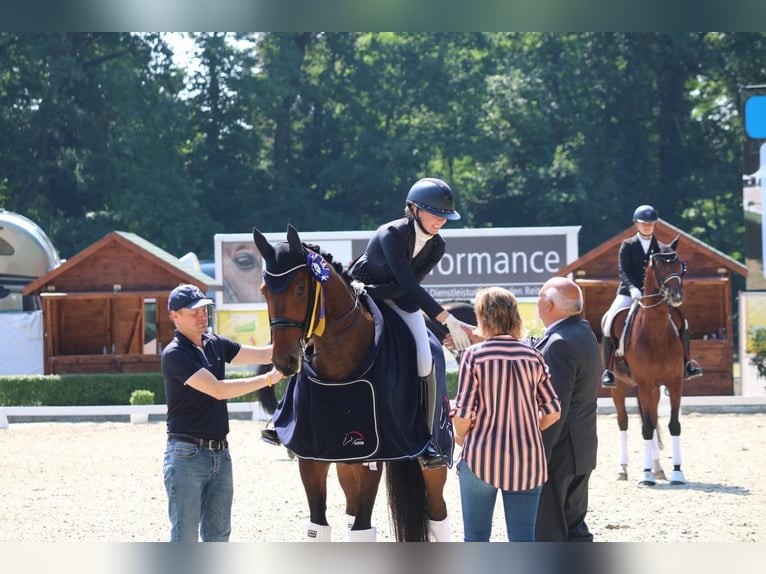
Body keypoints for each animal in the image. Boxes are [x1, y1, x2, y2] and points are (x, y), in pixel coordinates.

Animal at [252, 226, 456, 544]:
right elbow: (318, 526)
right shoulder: (311, 456)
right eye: (264, 291)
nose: (285, 362)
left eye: (300, 290)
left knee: (437, 513)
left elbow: (362, 529)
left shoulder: (373, 455)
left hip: (432, 457)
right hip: (345, 463)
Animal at [608, 236, 688, 488]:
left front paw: (677, 473)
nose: (676, 296)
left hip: (654, 390)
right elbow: (644, 428)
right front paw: (645, 476)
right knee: (624, 422)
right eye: (660, 266)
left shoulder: (674, 384)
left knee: (652, 419)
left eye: (679, 265)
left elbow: (672, 425)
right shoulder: (643, 385)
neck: (656, 333)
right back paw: (623, 469)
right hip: (619, 387)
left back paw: (658, 468)